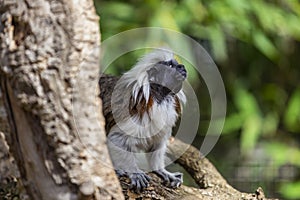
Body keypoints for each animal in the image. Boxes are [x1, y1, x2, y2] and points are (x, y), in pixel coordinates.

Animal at [98, 47, 188, 193]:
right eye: (170, 66)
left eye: (177, 64)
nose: (182, 67)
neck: (159, 97)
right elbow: (117, 139)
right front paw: (133, 172)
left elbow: (157, 143)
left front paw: (161, 170)